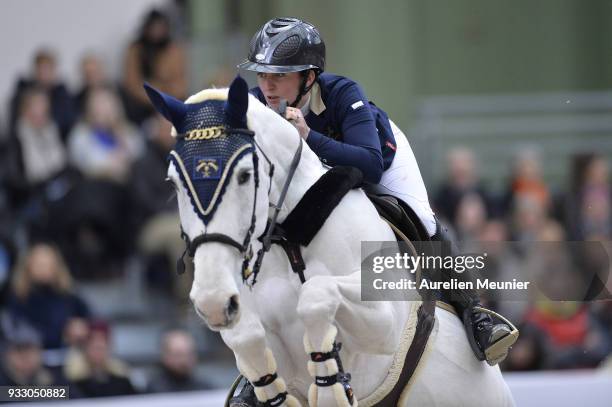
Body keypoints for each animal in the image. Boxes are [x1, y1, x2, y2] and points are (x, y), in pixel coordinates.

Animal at [145, 77, 516, 407]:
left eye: (244, 175)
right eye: (173, 182)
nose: (212, 301)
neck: (287, 240)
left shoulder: (384, 328)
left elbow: (316, 295)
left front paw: (330, 388)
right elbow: (246, 335)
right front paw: (269, 394)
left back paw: (488, 330)